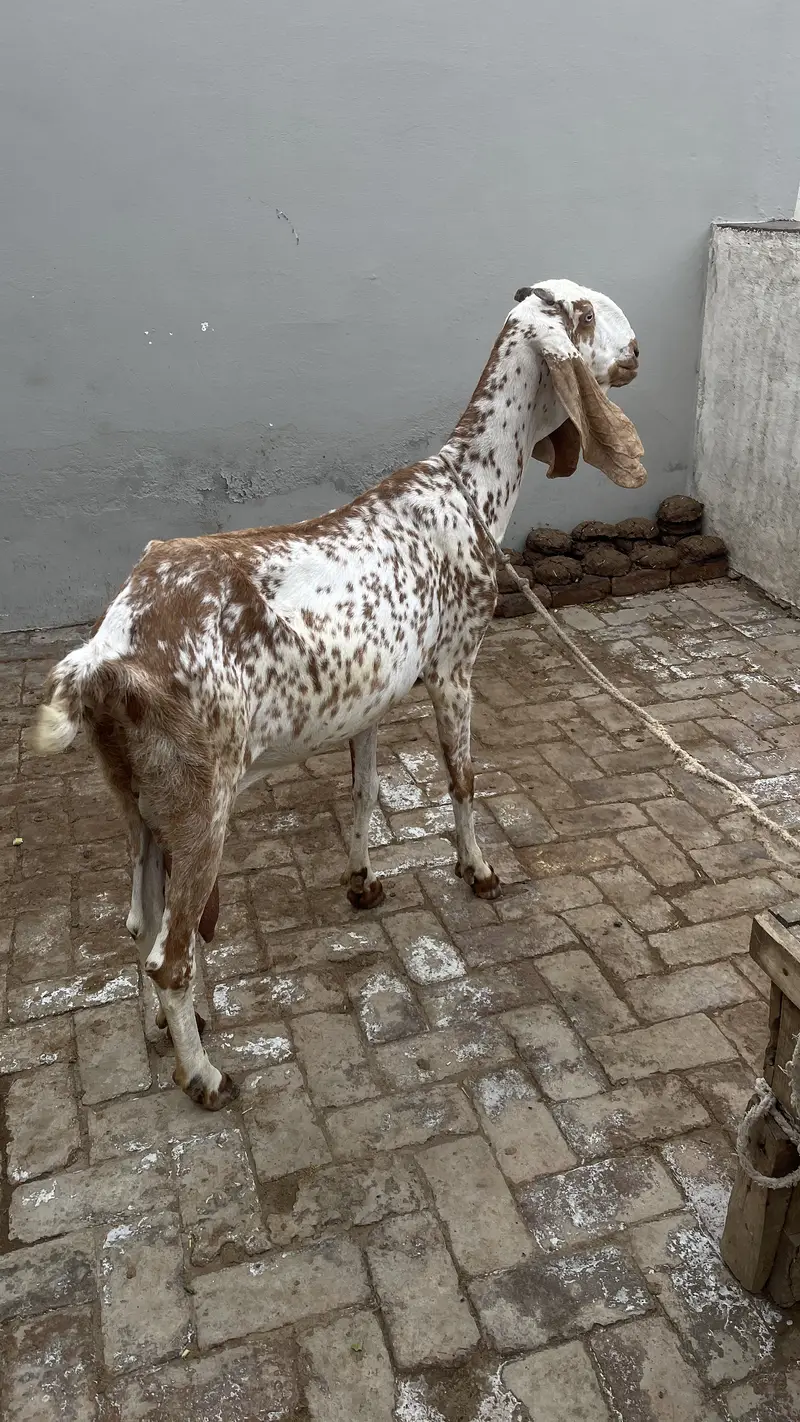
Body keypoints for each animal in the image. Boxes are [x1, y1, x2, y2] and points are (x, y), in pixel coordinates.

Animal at [31, 280, 645, 1109]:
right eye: (584, 312)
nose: (637, 351)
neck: (469, 486)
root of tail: (102, 658)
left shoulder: (369, 702)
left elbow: (364, 793)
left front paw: (363, 881)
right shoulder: (455, 664)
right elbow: (463, 779)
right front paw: (477, 871)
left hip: (140, 802)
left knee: (140, 922)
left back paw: (166, 1028)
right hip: (201, 803)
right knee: (172, 950)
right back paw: (204, 1073)